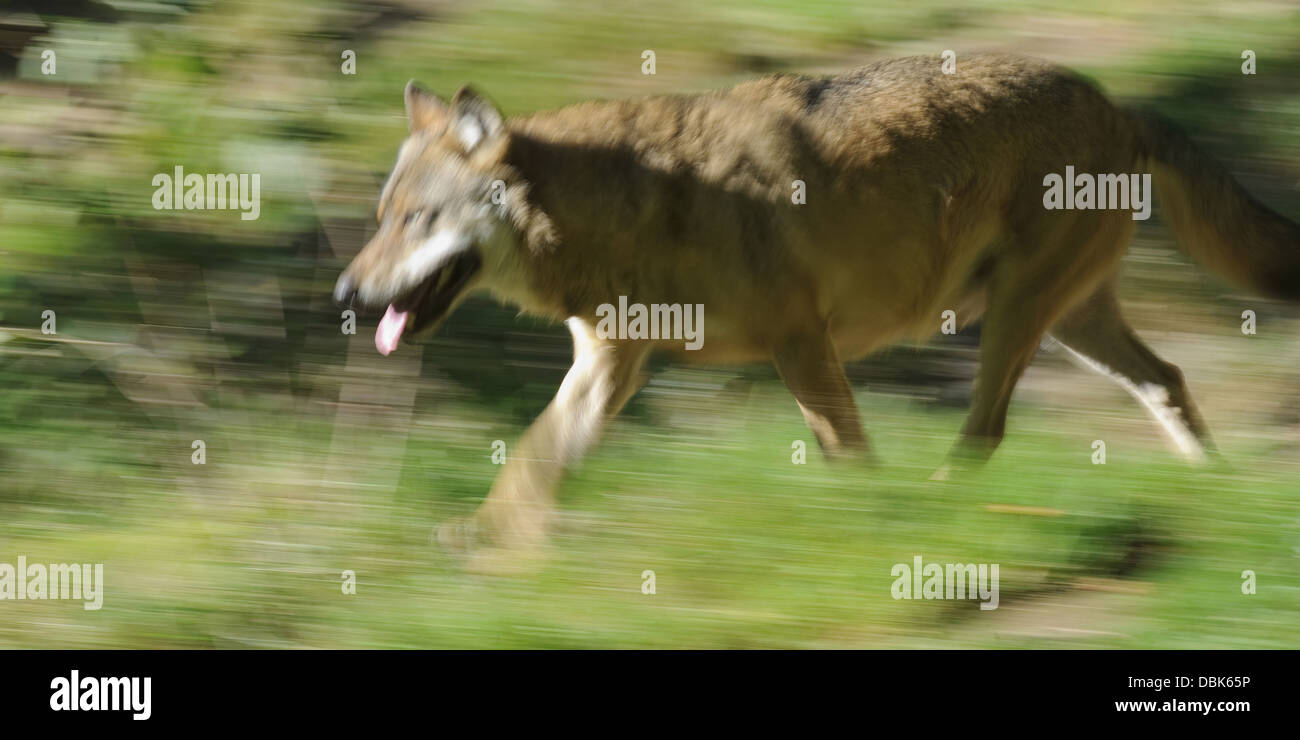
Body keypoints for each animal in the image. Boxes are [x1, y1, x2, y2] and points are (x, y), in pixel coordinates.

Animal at [333, 54, 1300, 561]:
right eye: (380, 218)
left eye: (416, 221)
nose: (345, 293)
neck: (629, 208)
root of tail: (1119, 102)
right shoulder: (607, 367)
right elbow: (532, 460)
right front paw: (488, 540)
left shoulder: (802, 342)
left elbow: (849, 455)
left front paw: (873, 527)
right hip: (1066, 323)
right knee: (1167, 379)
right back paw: (1216, 488)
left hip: (1018, 321)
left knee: (988, 431)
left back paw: (940, 505)